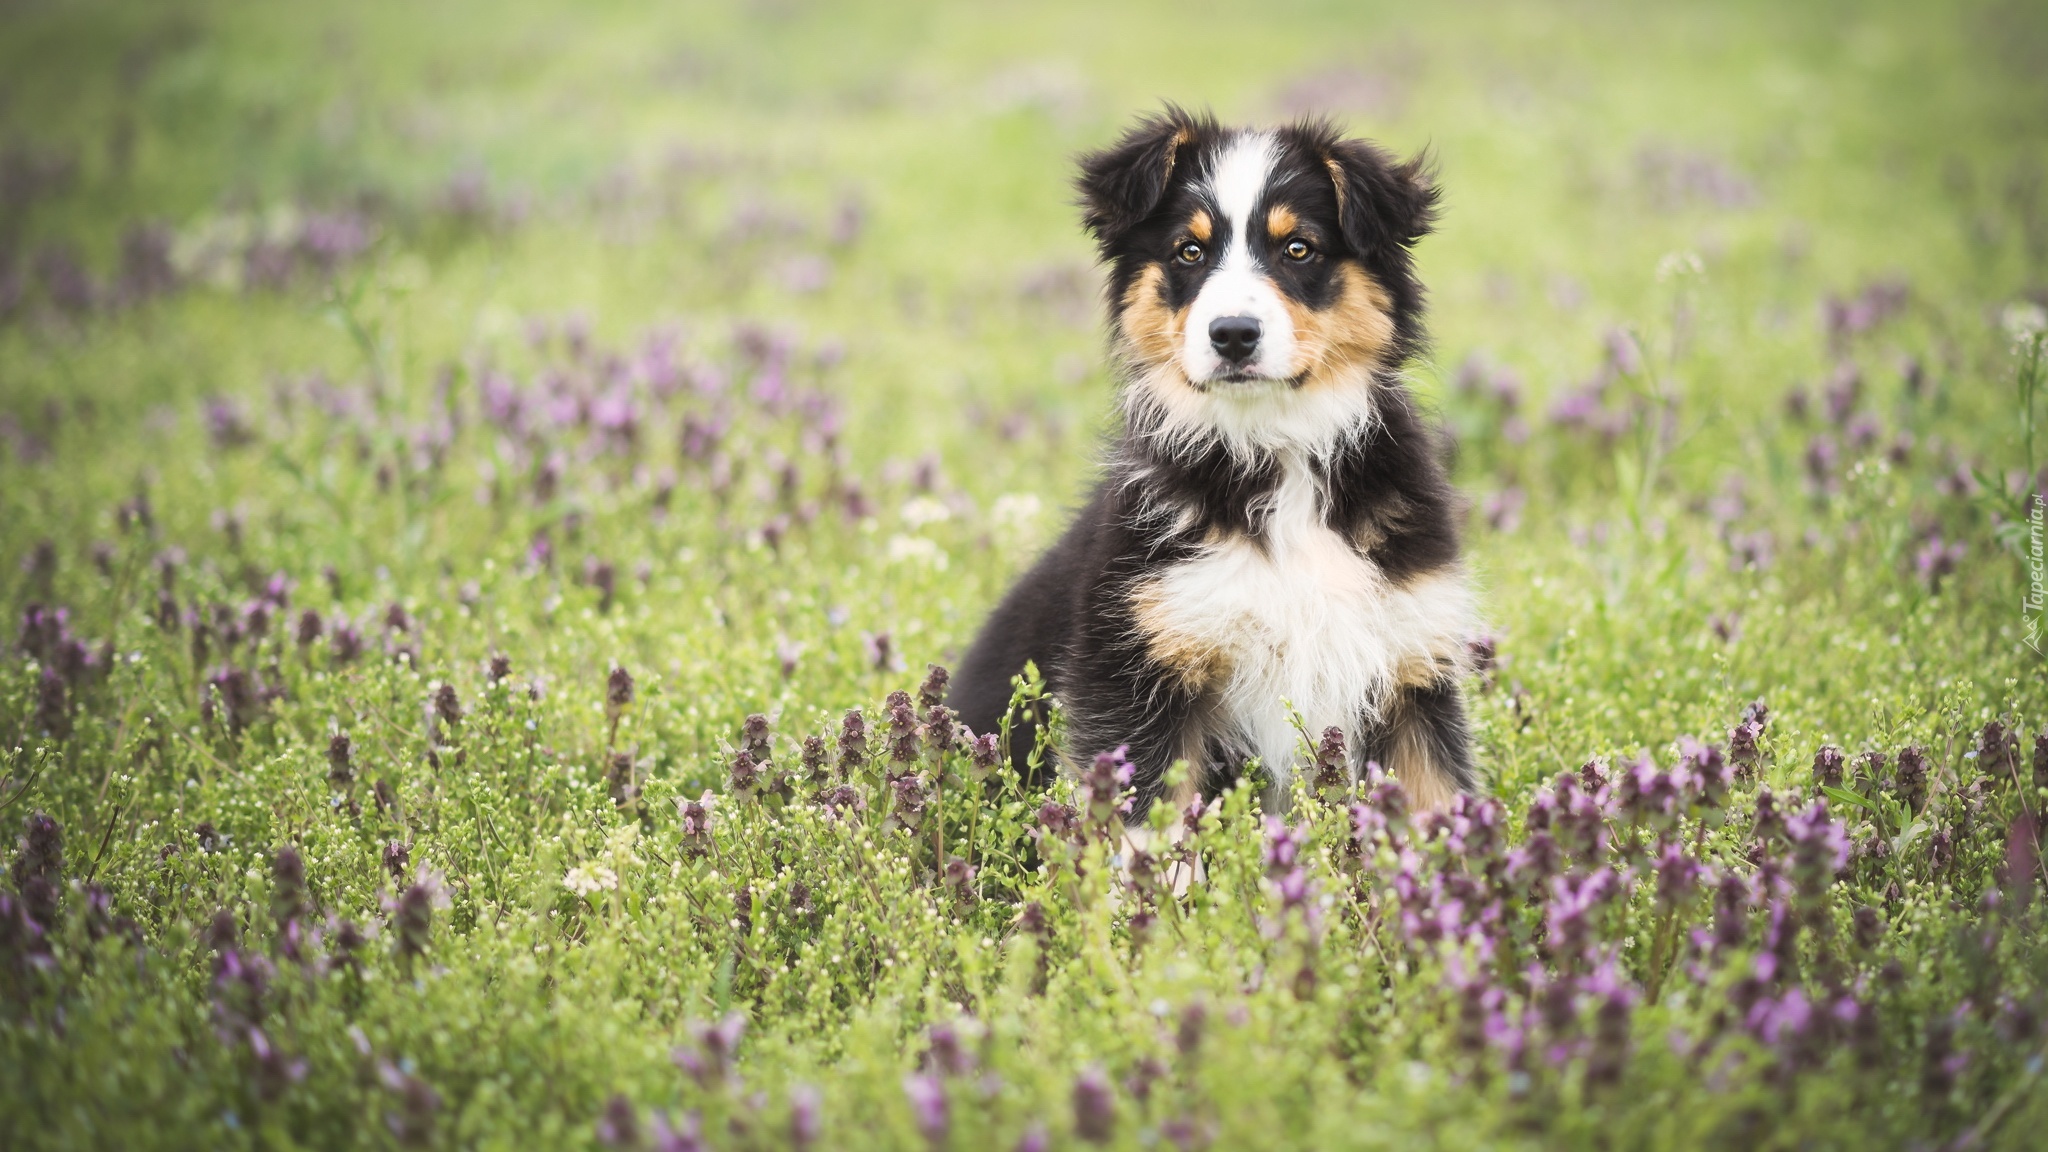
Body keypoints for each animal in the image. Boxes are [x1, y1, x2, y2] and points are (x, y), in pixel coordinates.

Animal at [950, 103, 1482, 811]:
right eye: (1190, 250)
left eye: (1298, 247)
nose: (1232, 334)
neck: (1274, 451)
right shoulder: (1139, 669)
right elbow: (1150, 822)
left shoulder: (1411, 665)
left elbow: (1443, 808)